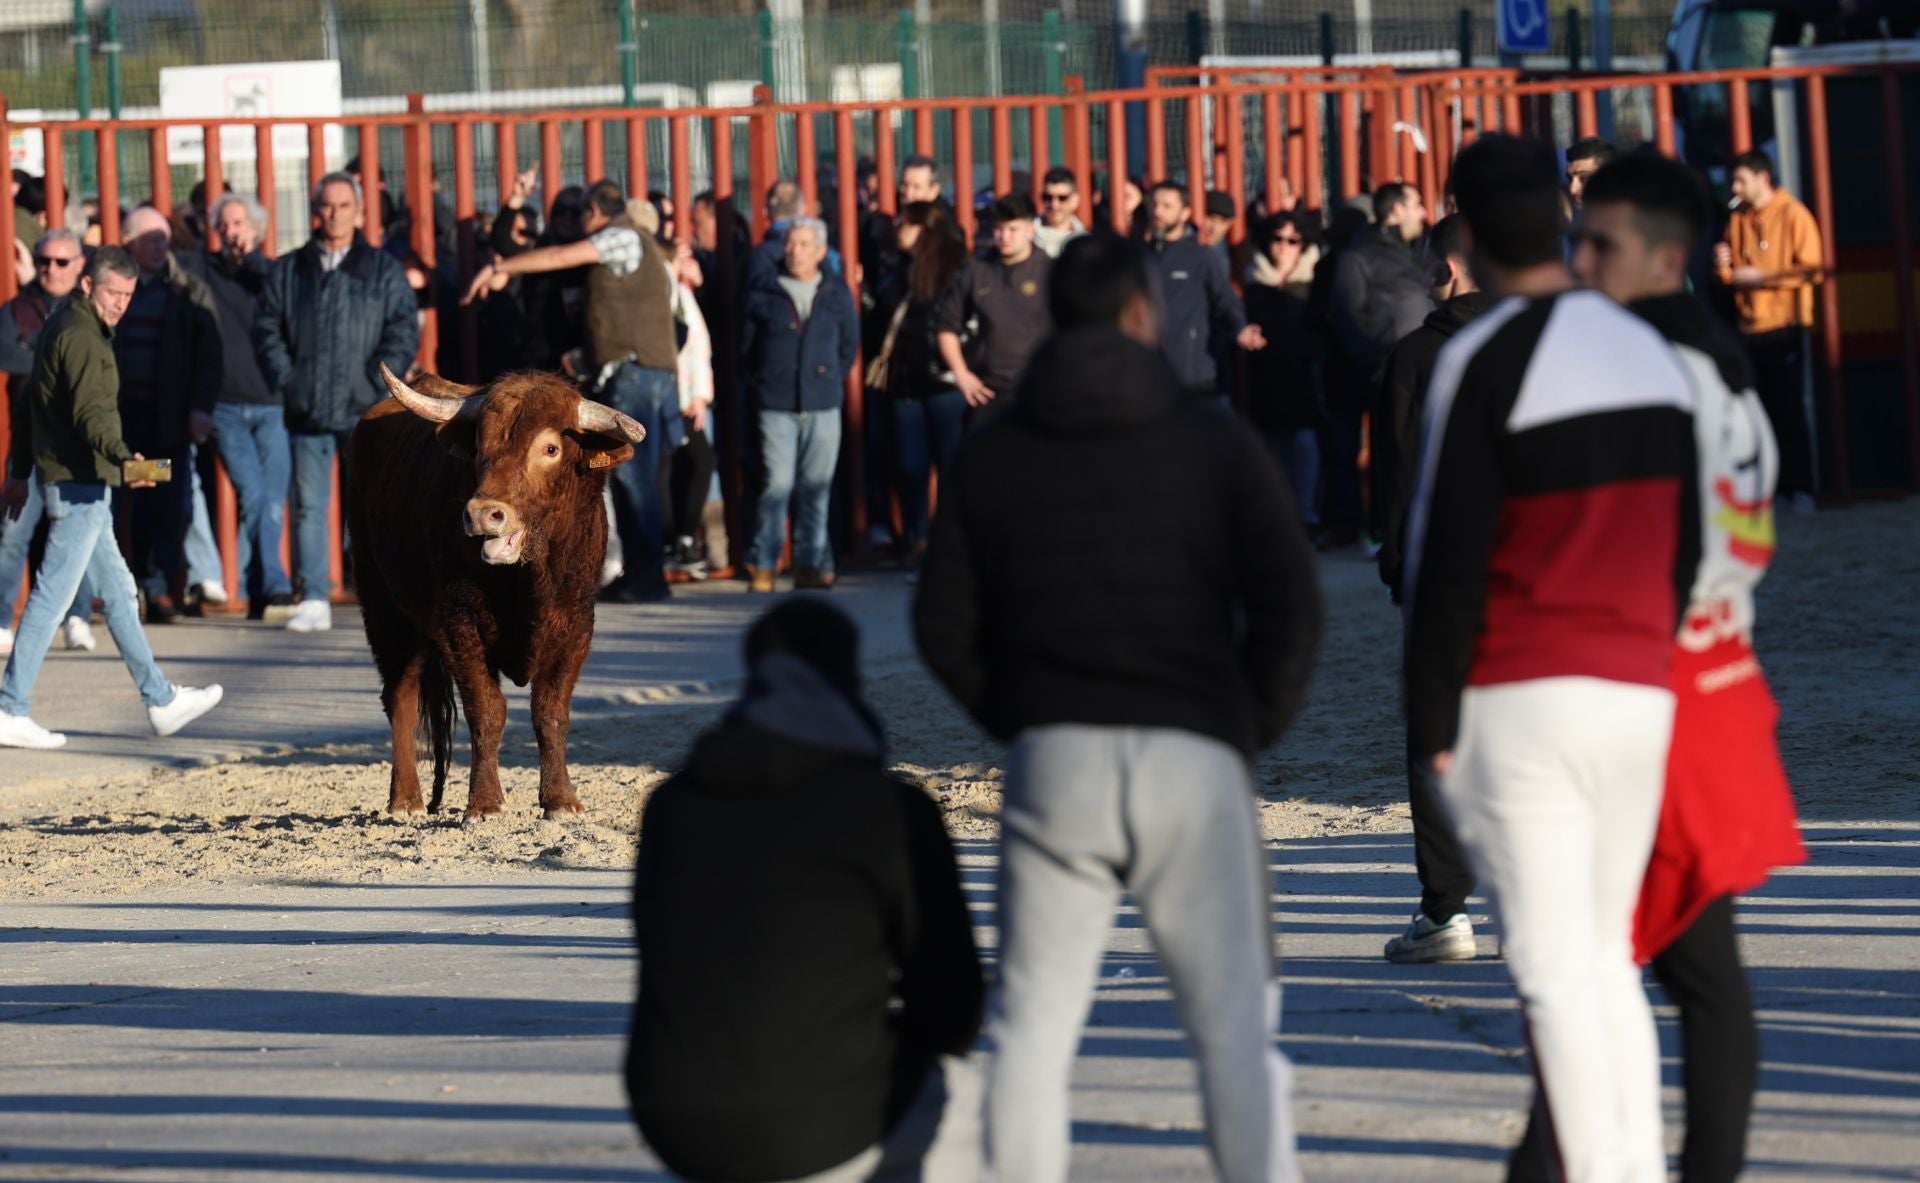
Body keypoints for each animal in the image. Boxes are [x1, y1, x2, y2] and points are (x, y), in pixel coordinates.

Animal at [345, 364, 645, 818]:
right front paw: (484, 804)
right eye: (481, 446)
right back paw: (406, 800)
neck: (527, 581)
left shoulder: (576, 625)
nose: (483, 514)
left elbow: (550, 712)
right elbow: (487, 710)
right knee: (400, 696)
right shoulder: (459, 625)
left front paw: (560, 800)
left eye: (551, 448)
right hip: (382, 607)